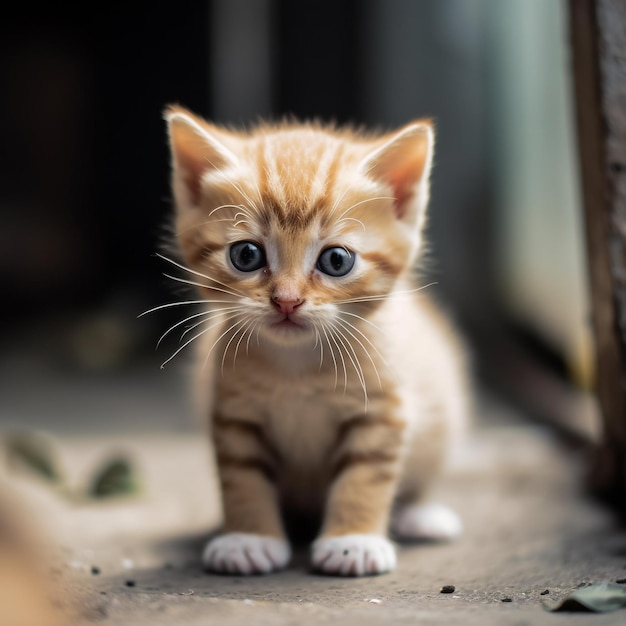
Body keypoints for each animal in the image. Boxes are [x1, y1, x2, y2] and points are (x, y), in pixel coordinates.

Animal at [163, 103, 466, 576]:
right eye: (246, 255)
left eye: (336, 260)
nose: (287, 301)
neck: (297, 367)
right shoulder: (234, 414)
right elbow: (242, 478)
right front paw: (248, 537)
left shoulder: (382, 412)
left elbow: (365, 477)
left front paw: (353, 541)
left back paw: (419, 514)